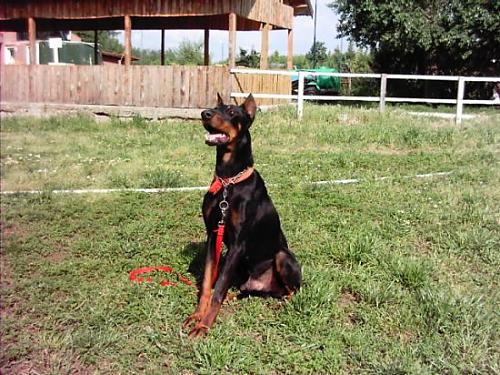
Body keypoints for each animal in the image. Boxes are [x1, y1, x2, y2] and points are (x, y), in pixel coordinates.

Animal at [184, 93, 300, 338]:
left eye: (231, 112)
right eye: (214, 107)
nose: (204, 114)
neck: (229, 180)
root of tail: (265, 287)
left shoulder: (238, 244)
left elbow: (218, 288)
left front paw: (204, 326)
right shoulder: (213, 236)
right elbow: (209, 283)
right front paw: (198, 316)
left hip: (282, 256)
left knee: (293, 290)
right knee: (240, 289)